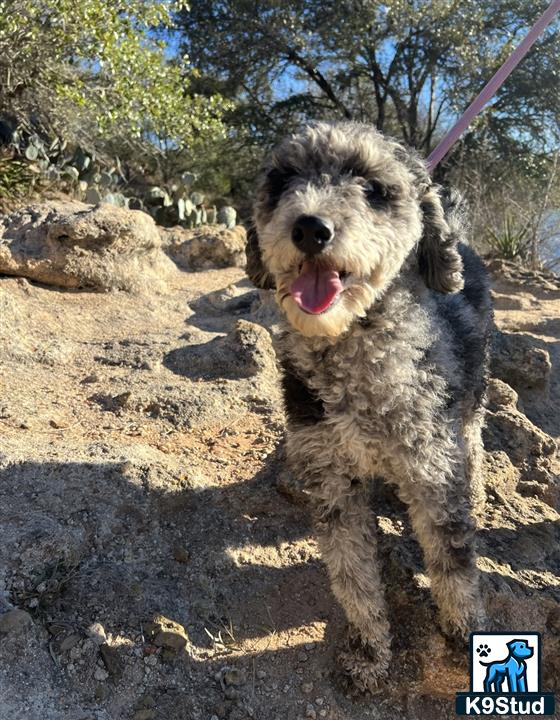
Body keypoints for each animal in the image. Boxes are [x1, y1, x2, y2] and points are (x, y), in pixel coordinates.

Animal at [247, 121, 492, 696]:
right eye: (282, 182)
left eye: (375, 189)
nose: (310, 227)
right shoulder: (333, 481)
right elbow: (352, 577)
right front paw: (367, 651)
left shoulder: (432, 469)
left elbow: (453, 565)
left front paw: (464, 632)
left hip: (473, 393)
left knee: (472, 433)